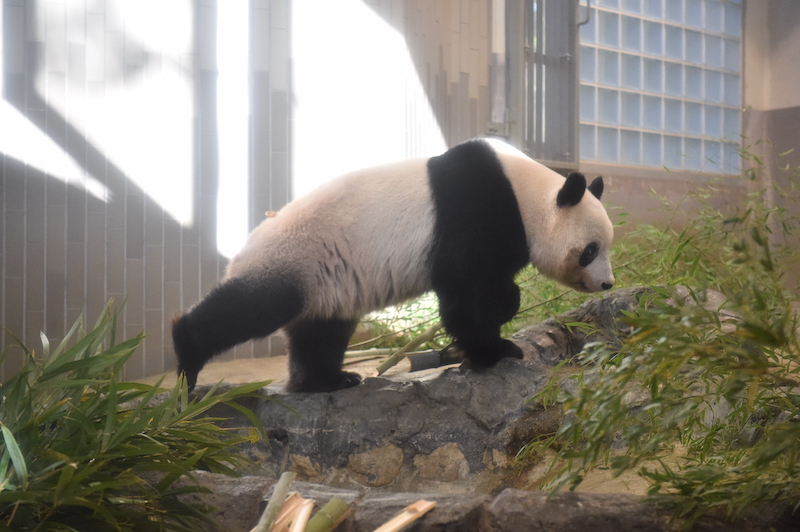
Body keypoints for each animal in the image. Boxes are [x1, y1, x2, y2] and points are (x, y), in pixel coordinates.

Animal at [172, 139, 616, 392]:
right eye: (590, 251)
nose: (608, 285)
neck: (527, 197)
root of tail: (243, 247)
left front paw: (502, 315)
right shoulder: (473, 211)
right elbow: (466, 291)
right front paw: (495, 350)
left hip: (325, 282)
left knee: (320, 332)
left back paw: (327, 381)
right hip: (292, 258)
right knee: (251, 307)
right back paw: (187, 360)